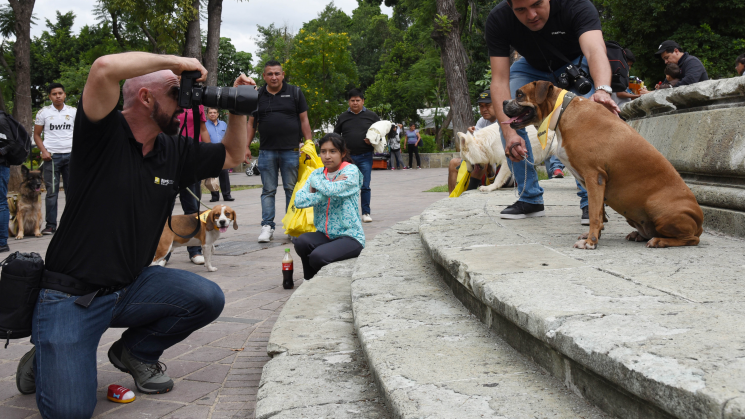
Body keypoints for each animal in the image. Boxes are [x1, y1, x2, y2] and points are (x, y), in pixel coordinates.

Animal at [500, 81, 704, 249]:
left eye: (519, 94)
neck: (563, 110)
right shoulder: (593, 182)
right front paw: (593, 237)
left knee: (691, 239)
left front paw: (591, 242)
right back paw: (639, 235)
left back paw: (660, 241)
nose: (502, 102)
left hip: (657, 207)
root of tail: (700, 222)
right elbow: (599, 213)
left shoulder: (594, 177)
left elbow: (594, 215)